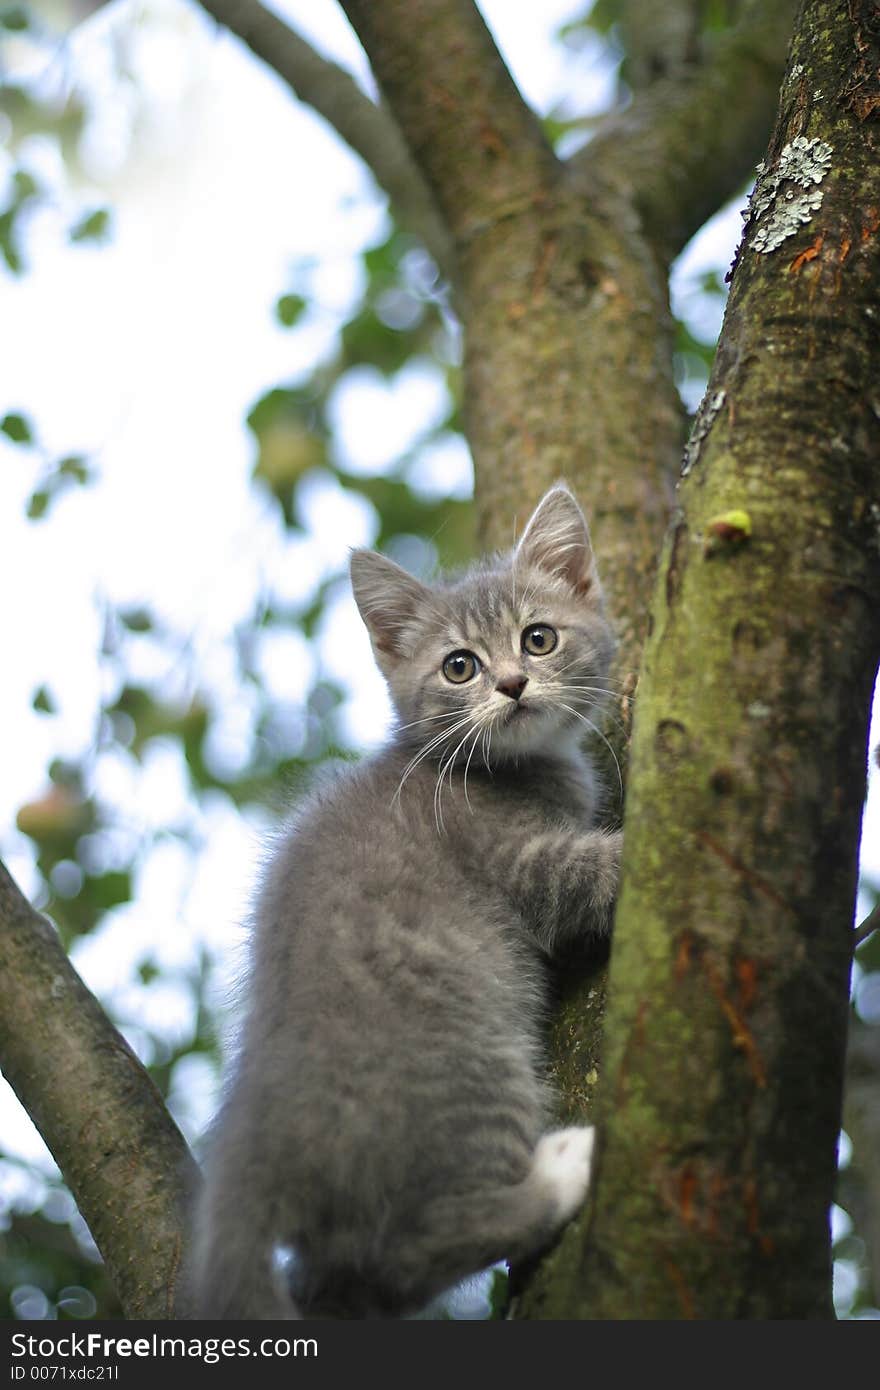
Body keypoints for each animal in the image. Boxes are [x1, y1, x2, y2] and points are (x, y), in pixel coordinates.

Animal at [189, 483, 620, 1317]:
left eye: (539, 639)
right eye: (460, 667)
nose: (512, 684)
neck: (489, 768)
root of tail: (255, 1141)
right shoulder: (520, 863)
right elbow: (594, 873)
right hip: (470, 1070)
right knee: (417, 1248)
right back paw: (557, 1178)